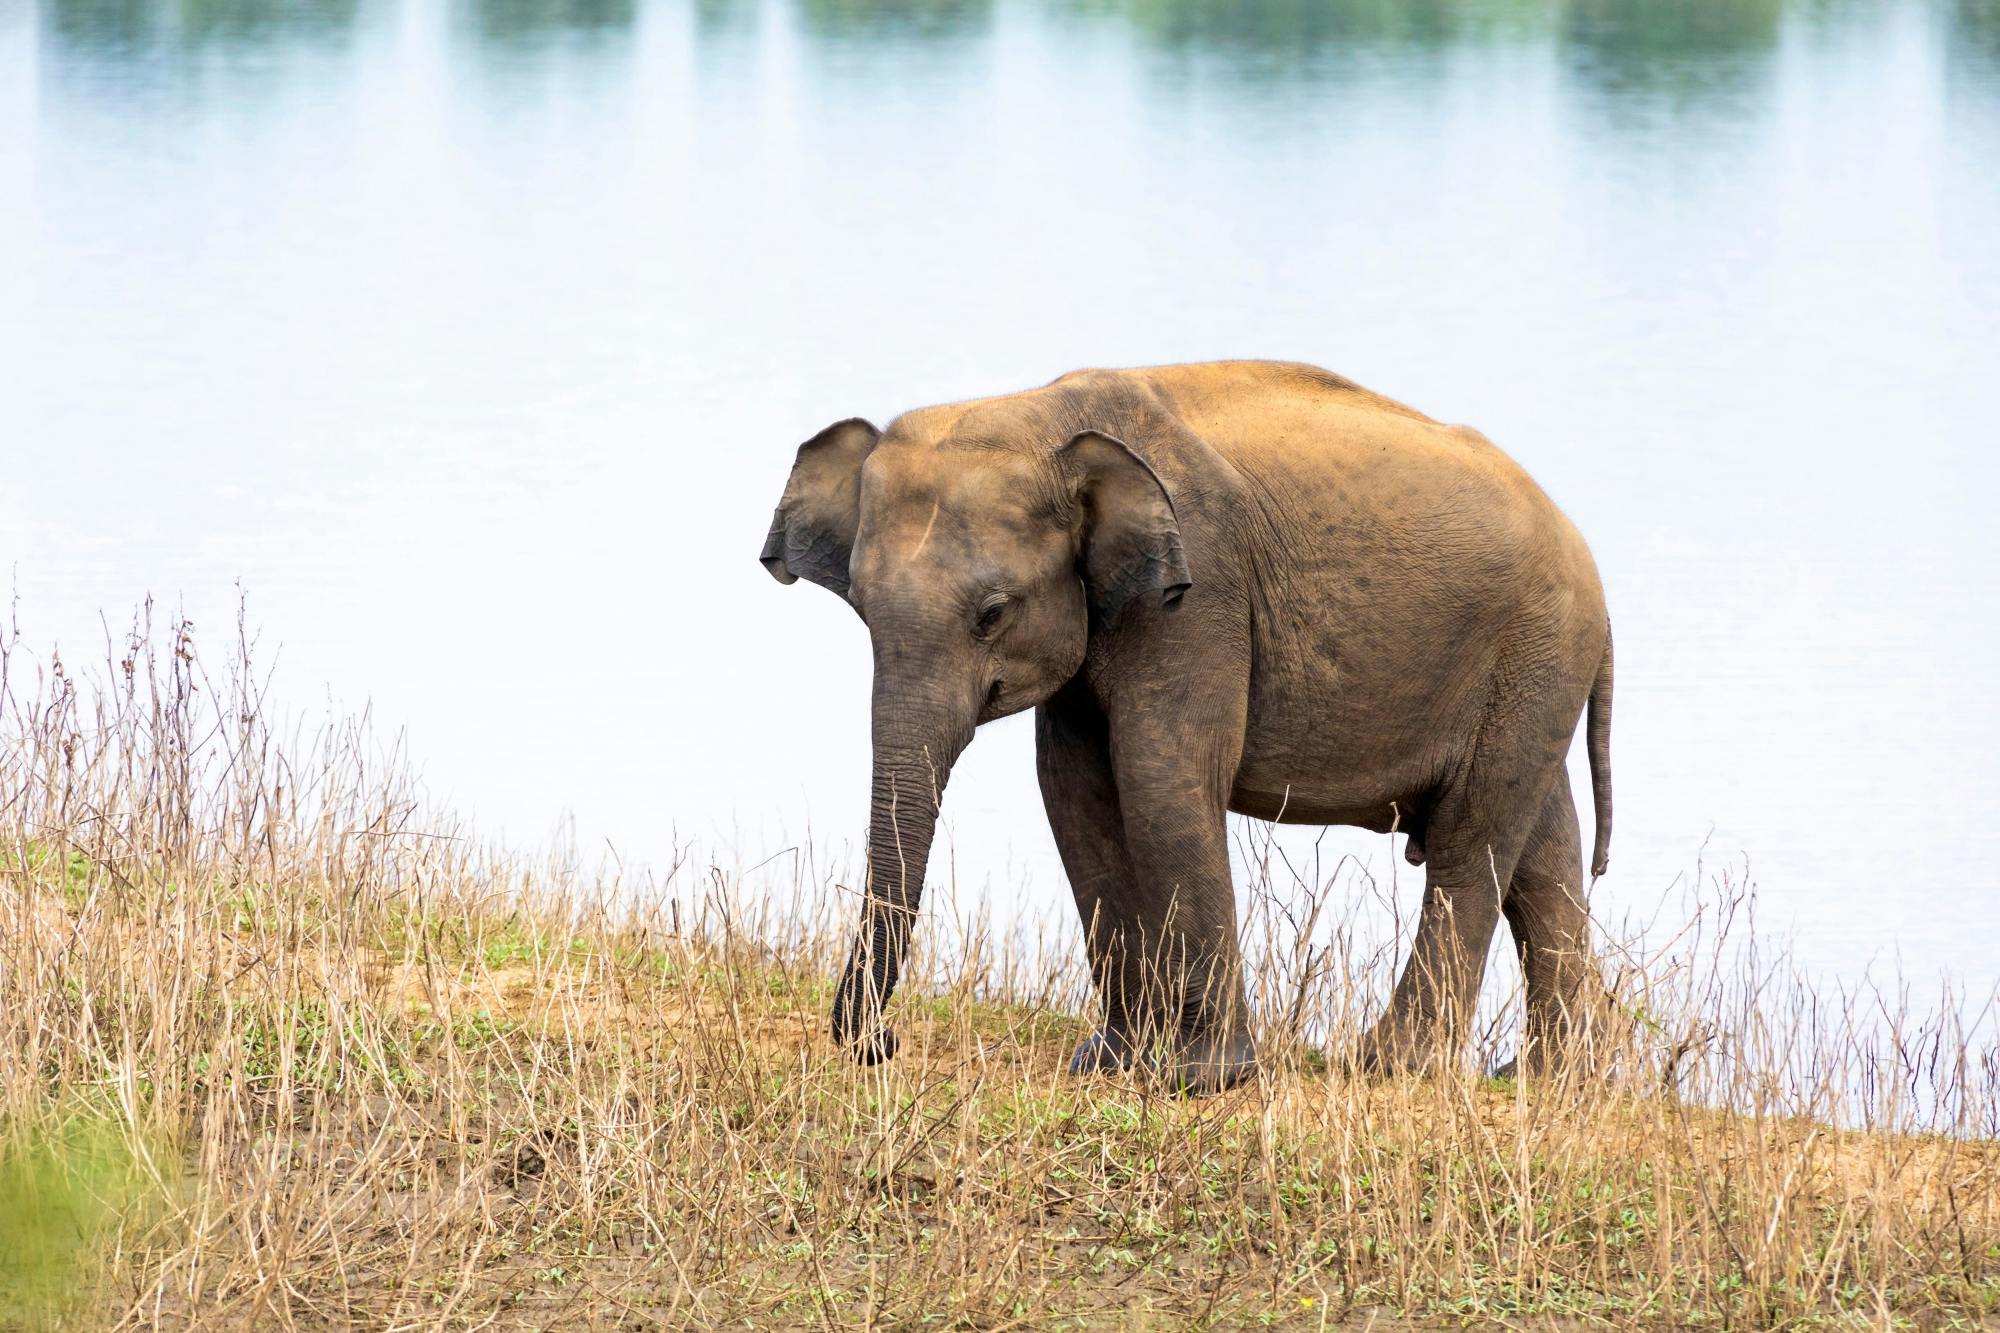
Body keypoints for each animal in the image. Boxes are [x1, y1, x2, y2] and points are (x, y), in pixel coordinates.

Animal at [756, 358, 1616, 1088]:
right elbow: (1075, 791)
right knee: (1543, 845)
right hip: (1532, 669)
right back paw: (1549, 1081)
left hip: (1536, 649)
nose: (882, 1043)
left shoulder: (1197, 591)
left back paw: (1392, 1068)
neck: (1043, 410)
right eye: (862, 609)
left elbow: (1159, 769)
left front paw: (1203, 1078)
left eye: (993, 612)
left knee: (1473, 840)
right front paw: (1109, 1061)